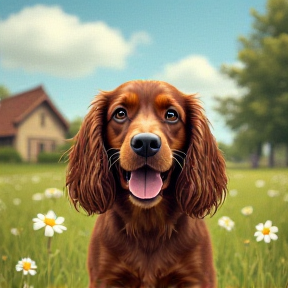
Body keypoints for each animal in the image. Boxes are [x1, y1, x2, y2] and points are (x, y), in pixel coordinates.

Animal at [66, 80, 227, 286]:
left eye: (171, 115)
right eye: (120, 113)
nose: (145, 143)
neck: (148, 224)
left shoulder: (197, 277)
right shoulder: (105, 277)